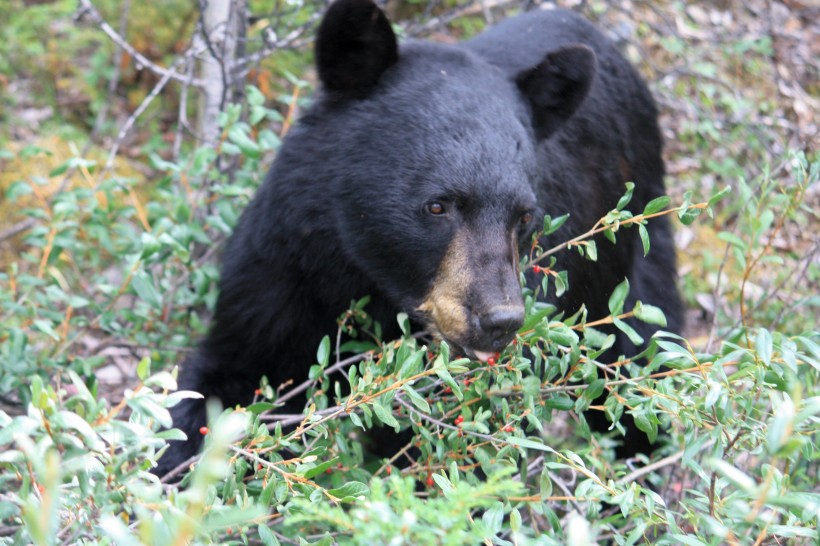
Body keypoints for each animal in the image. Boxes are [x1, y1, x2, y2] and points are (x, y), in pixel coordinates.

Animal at [152, 0, 680, 474]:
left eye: (525, 216)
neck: (366, 278)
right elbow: (223, 377)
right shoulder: (283, 267)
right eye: (437, 205)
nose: (501, 319)